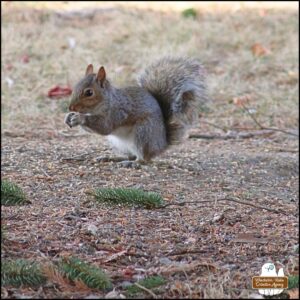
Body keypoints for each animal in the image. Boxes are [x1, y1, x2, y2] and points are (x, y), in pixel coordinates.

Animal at [64, 57, 209, 163]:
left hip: (143, 132)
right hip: (119, 143)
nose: (71, 107)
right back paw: (113, 158)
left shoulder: (117, 112)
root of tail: (161, 145)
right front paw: (69, 117)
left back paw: (134, 163)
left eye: (89, 93)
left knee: (144, 158)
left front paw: (80, 118)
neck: (106, 101)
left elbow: (104, 127)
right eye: (76, 86)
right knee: (131, 155)